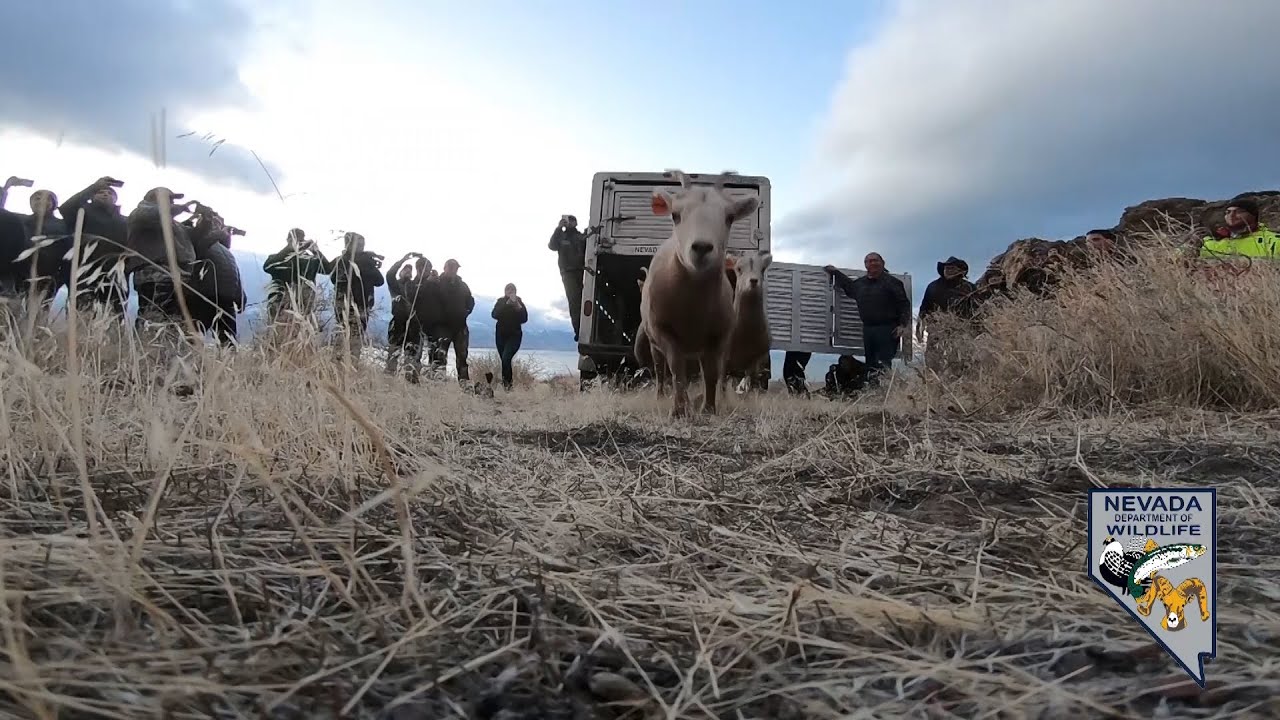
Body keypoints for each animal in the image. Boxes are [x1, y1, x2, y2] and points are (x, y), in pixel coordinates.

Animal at [637, 170, 760, 417]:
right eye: (675, 215)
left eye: (730, 217)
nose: (702, 248)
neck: (692, 306)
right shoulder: (664, 331)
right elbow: (677, 370)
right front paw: (679, 410)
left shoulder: (717, 337)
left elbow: (710, 373)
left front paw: (708, 408)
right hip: (655, 343)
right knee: (662, 371)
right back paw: (664, 396)